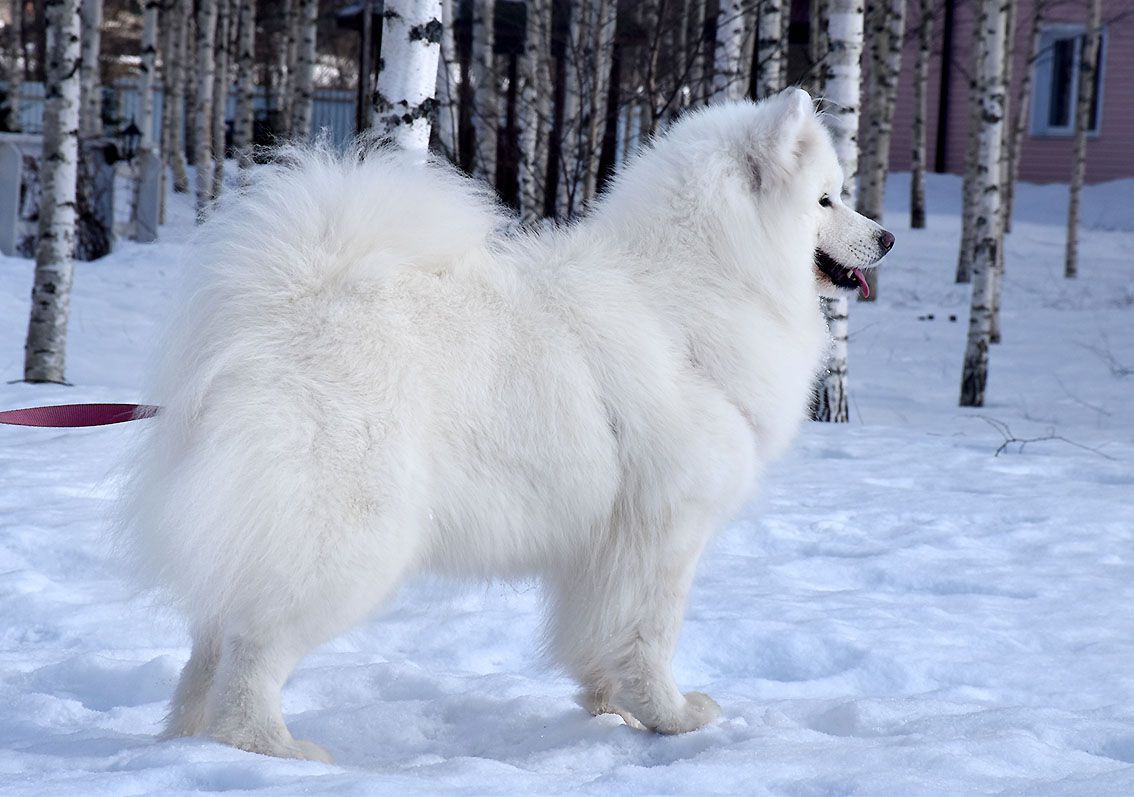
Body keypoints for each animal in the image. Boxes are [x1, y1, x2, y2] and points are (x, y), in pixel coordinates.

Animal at [121, 85, 893, 761]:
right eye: (826, 199)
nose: (885, 237)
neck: (697, 292)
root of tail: (281, 307)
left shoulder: (603, 544)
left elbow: (598, 637)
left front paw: (610, 708)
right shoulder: (664, 529)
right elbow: (650, 634)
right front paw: (670, 717)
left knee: (211, 640)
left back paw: (186, 738)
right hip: (348, 539)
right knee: (253, 644)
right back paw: (270, 747)